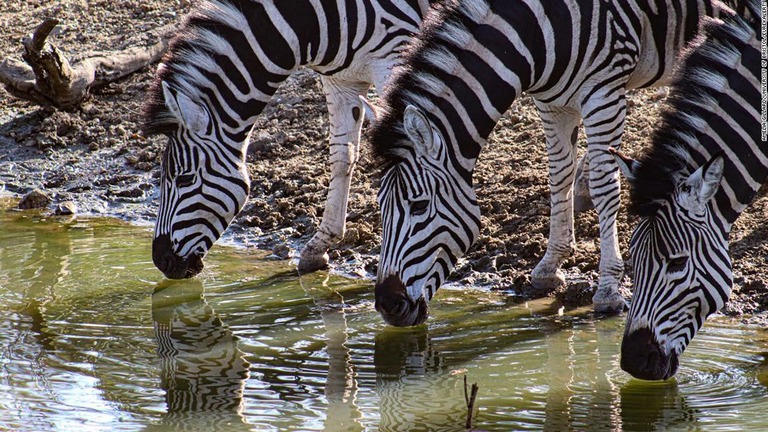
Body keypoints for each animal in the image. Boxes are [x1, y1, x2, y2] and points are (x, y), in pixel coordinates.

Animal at [140, 0, 438, 278]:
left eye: (184, 179)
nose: (161, 261)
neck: (312, 21)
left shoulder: (398, 53)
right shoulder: (342, 80)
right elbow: (342, 156)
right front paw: (318, 247)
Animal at [366, 0, 728, 324]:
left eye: (419, 206)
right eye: (381, 205)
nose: (387, 305)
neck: (539, 27)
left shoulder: (604, 93)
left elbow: (605, 187)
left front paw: (608, 289)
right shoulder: (552, 102)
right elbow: (557, 176)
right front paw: (549, 266)